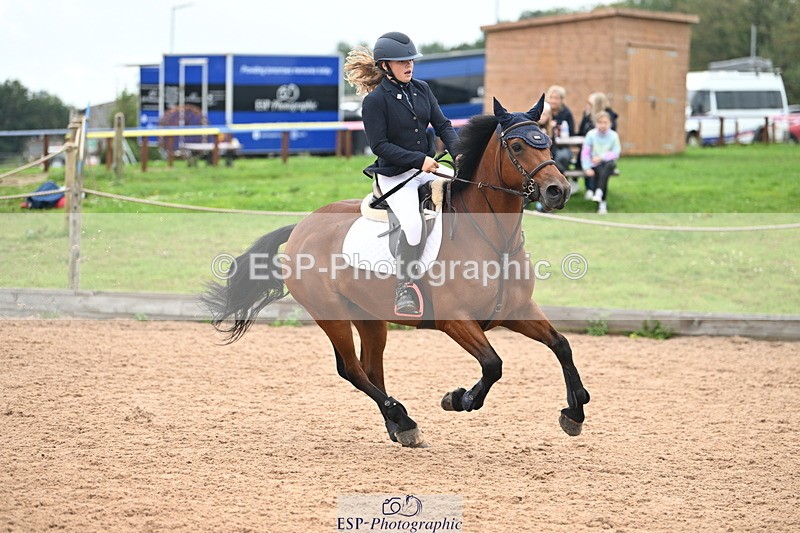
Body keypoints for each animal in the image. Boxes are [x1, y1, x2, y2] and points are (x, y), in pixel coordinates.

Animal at [202, 94, 591, 447]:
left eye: (548, 141)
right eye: (517, 145)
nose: (558, 191)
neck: (495, 240)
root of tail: (301, 226)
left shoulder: (516, 311)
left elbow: (562, 345)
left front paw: (575, 412)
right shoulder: (455, 319)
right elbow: (493, 364)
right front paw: (458, 399)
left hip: (369, 315)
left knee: (371, 367)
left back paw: (398, 425)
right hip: (331, 314)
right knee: (352, 369)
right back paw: (403, 419)